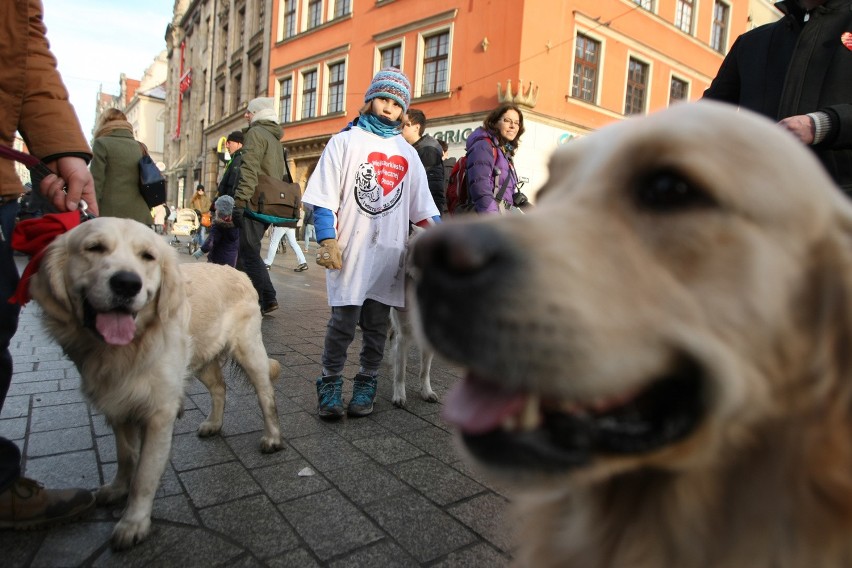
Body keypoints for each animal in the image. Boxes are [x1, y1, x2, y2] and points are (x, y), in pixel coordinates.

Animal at [29, 217, 282, 552]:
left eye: (148, 256)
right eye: (94, 248)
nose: (126, 284)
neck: (129, 348)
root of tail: (237, 270)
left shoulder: (159, 413)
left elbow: (145, 475)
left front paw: (133, 523)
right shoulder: (118, 406)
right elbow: (126, 456)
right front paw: (117, 488)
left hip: (248, 350)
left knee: (266, 395)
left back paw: (272, 438)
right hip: (200, 358)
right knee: (219, 388)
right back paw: (214, 423)